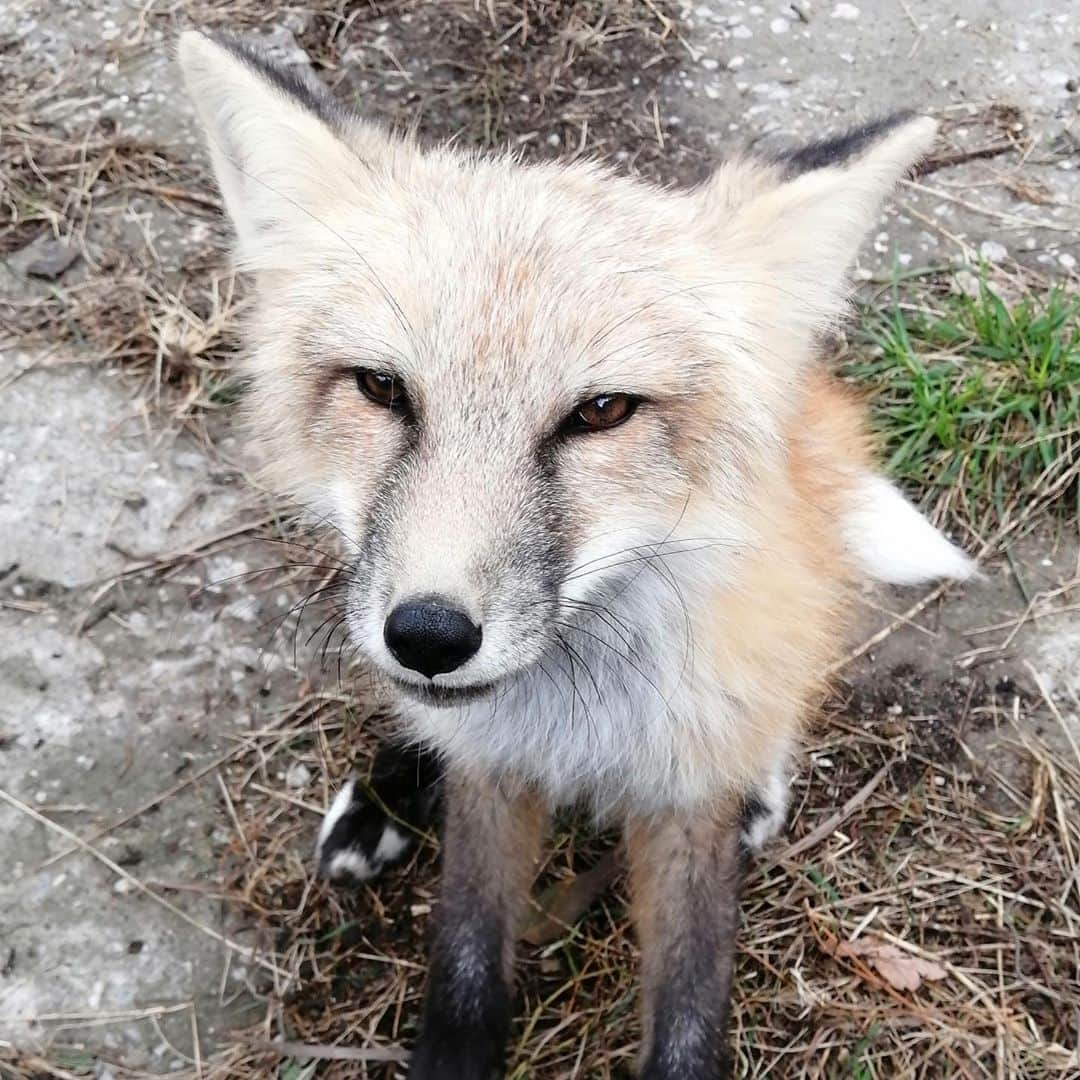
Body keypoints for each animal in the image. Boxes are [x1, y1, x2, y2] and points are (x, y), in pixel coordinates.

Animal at [179, 29, 980, 1075]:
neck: (570, 722)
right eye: (381, 388)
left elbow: (689, 1002)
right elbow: (465, 962)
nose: (428, 636)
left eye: (602, 411)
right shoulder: (488, 777)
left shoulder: (682, 803)